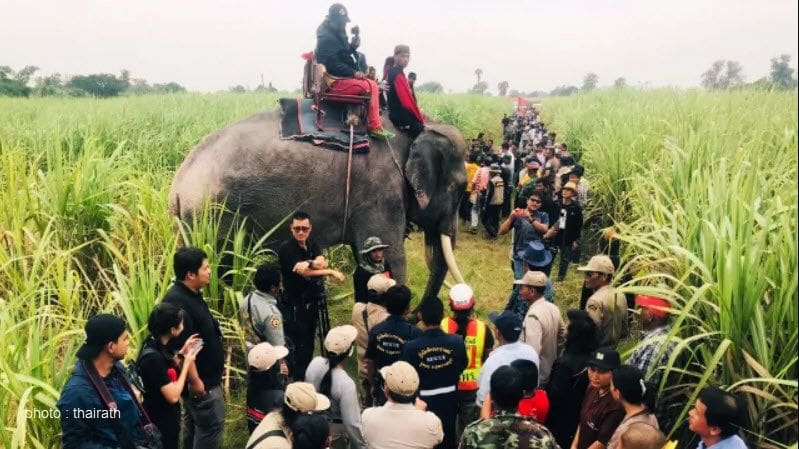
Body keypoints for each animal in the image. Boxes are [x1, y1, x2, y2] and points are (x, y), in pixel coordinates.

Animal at [169, 110, 468, 296]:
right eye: (461, 188)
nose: (418, 314)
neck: (418, 127)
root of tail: (178, 183)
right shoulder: (380, 193)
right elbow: (393, 259)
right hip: (213, 217)